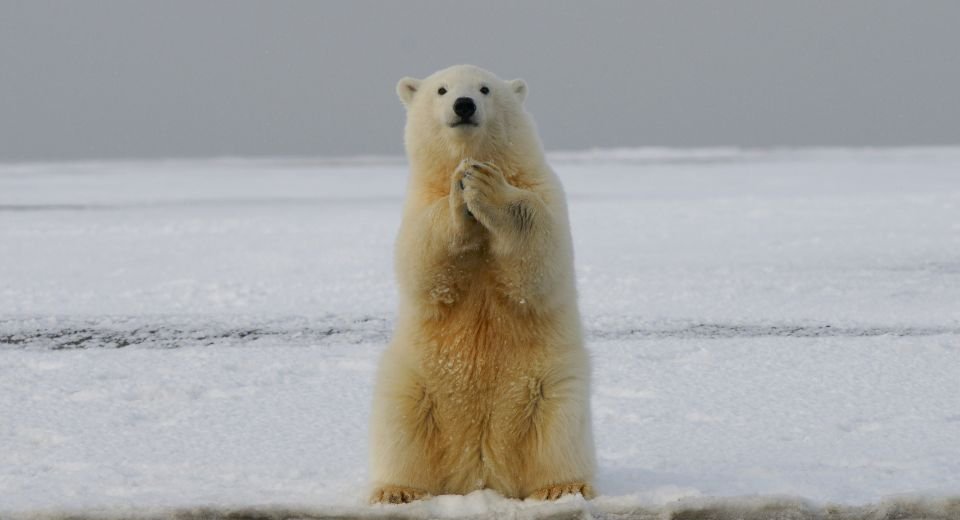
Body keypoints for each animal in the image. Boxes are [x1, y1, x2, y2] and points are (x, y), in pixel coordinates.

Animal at [368, 64, 592, 504]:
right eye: (441, 89)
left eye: (485, 88)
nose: (464, 104)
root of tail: (480, 472)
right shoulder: (418, 201)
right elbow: (422, 261)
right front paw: (460, 193)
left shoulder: (543, 188)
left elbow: (541, 254)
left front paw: (486, 185)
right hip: (415, 384)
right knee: (401, 428)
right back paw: (397, 491)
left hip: (550, 385)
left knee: (559, 432)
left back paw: (561, 487)